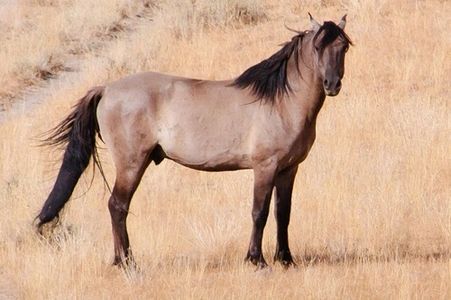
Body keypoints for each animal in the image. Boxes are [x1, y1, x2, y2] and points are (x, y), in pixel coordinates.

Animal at [35, 14, 354, 268]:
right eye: (317, 47)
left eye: (344, 46)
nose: (332, 84)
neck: (280, 102)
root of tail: (107, 88)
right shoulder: (265, 167)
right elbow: (259, 212)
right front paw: (257, 260)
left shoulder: (288, 170)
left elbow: (282, 213)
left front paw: (286, 259)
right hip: (131, 164)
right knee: (117, 206)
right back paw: (126, 262)